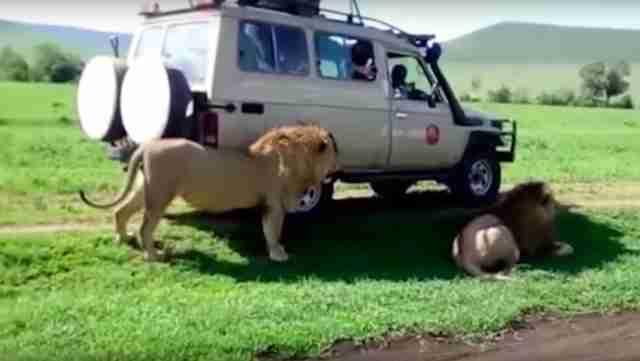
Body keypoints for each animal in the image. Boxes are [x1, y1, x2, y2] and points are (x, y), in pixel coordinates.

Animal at [79, 124, 340, 262]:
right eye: (335, 151)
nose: (339, 164)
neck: (302, 157)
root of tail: (145, 146)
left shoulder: (271, 203)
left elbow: (268, 231)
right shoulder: (275, 204)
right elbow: (273, 231)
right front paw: (278, 254)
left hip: (145, 188)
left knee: (120, 211)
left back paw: (123, 238)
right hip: (160, 194)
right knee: (145, 227)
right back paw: (154, 255)